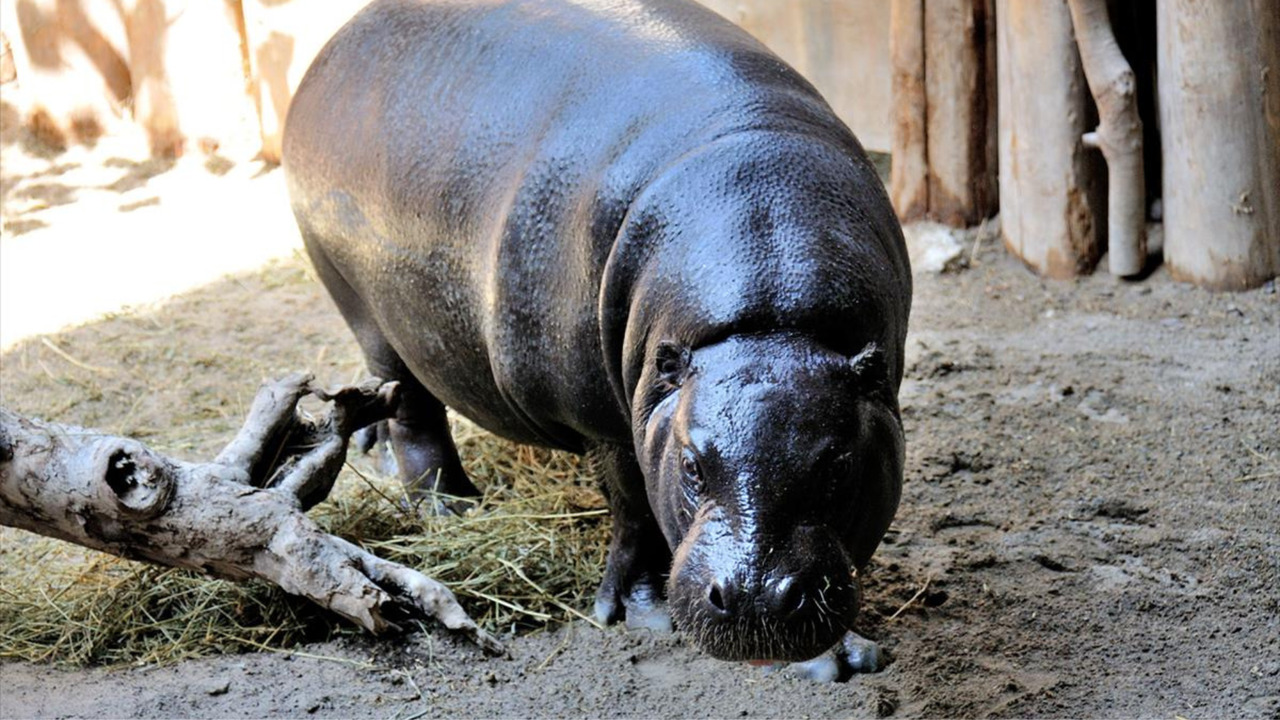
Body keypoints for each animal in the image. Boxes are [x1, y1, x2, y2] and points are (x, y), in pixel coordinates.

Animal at [283, 0, 911, 676]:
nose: (753, 599)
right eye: (690, 464)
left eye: (838, 464)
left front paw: (841, 656)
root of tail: (339, 39)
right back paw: (452, 506)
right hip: (361, 302)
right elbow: (634, 509)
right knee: (412, 408)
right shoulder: (602, 419)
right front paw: (641, 612)